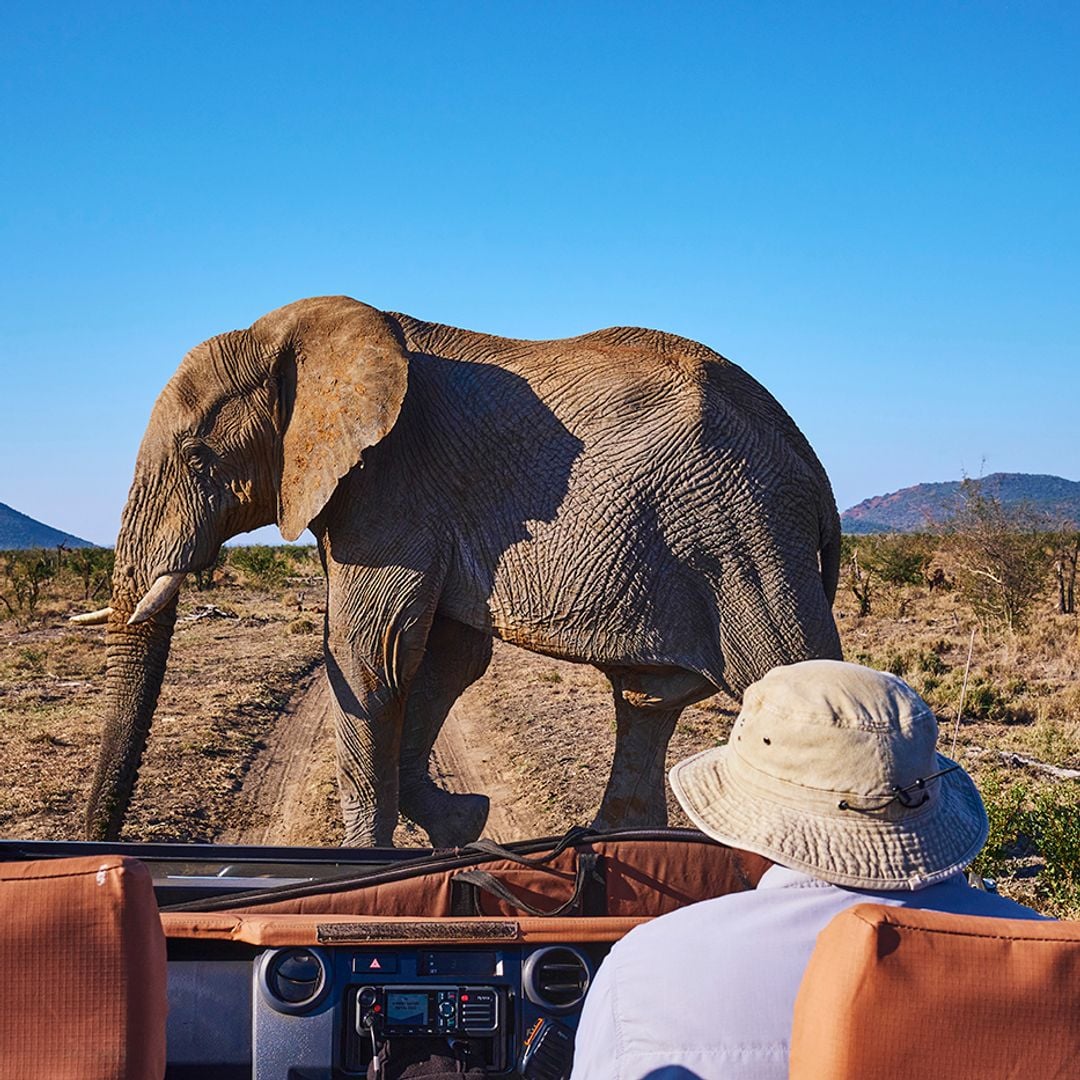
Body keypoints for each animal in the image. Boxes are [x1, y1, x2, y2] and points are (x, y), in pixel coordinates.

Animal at [84, 298, 842, 851]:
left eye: (198, 454)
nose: (101, 841)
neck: (296, 334)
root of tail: (812, 461)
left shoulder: (391, 485)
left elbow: (371, 655)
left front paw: (367, 858)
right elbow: (446, 658)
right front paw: (463, 823)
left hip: (747, 535)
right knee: (646, 700)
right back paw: (612, 842)